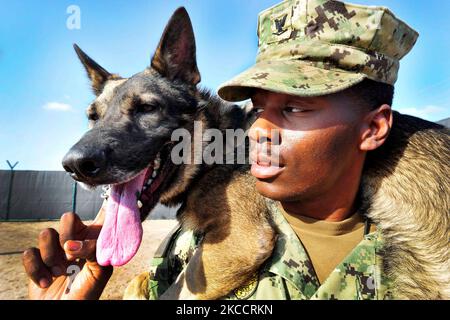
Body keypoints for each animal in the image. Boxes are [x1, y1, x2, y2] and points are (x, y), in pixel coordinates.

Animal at [64, 7, 450, 298]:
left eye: (147, 108)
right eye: (92, 116)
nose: (74, 165)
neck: (216, 148)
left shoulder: (240, 243)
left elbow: (170, 288)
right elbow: (144, 278)